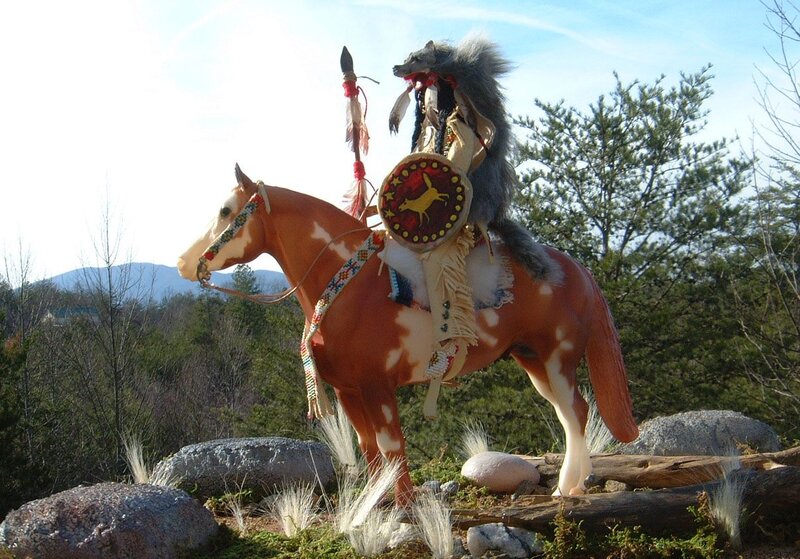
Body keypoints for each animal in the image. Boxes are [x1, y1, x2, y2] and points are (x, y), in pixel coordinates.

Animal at [177, 165, 639, 505]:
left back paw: (567, 487)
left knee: (576, 412)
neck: (349, 284)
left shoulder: (378, 387)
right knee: (567, 414)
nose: (184, 263)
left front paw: (402, 508)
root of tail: (575, 268)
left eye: (226, 210)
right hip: (532, 361)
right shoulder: (349, 391)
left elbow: (392, 446)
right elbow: (368, 449)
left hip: (558, 359)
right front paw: (374, 505)